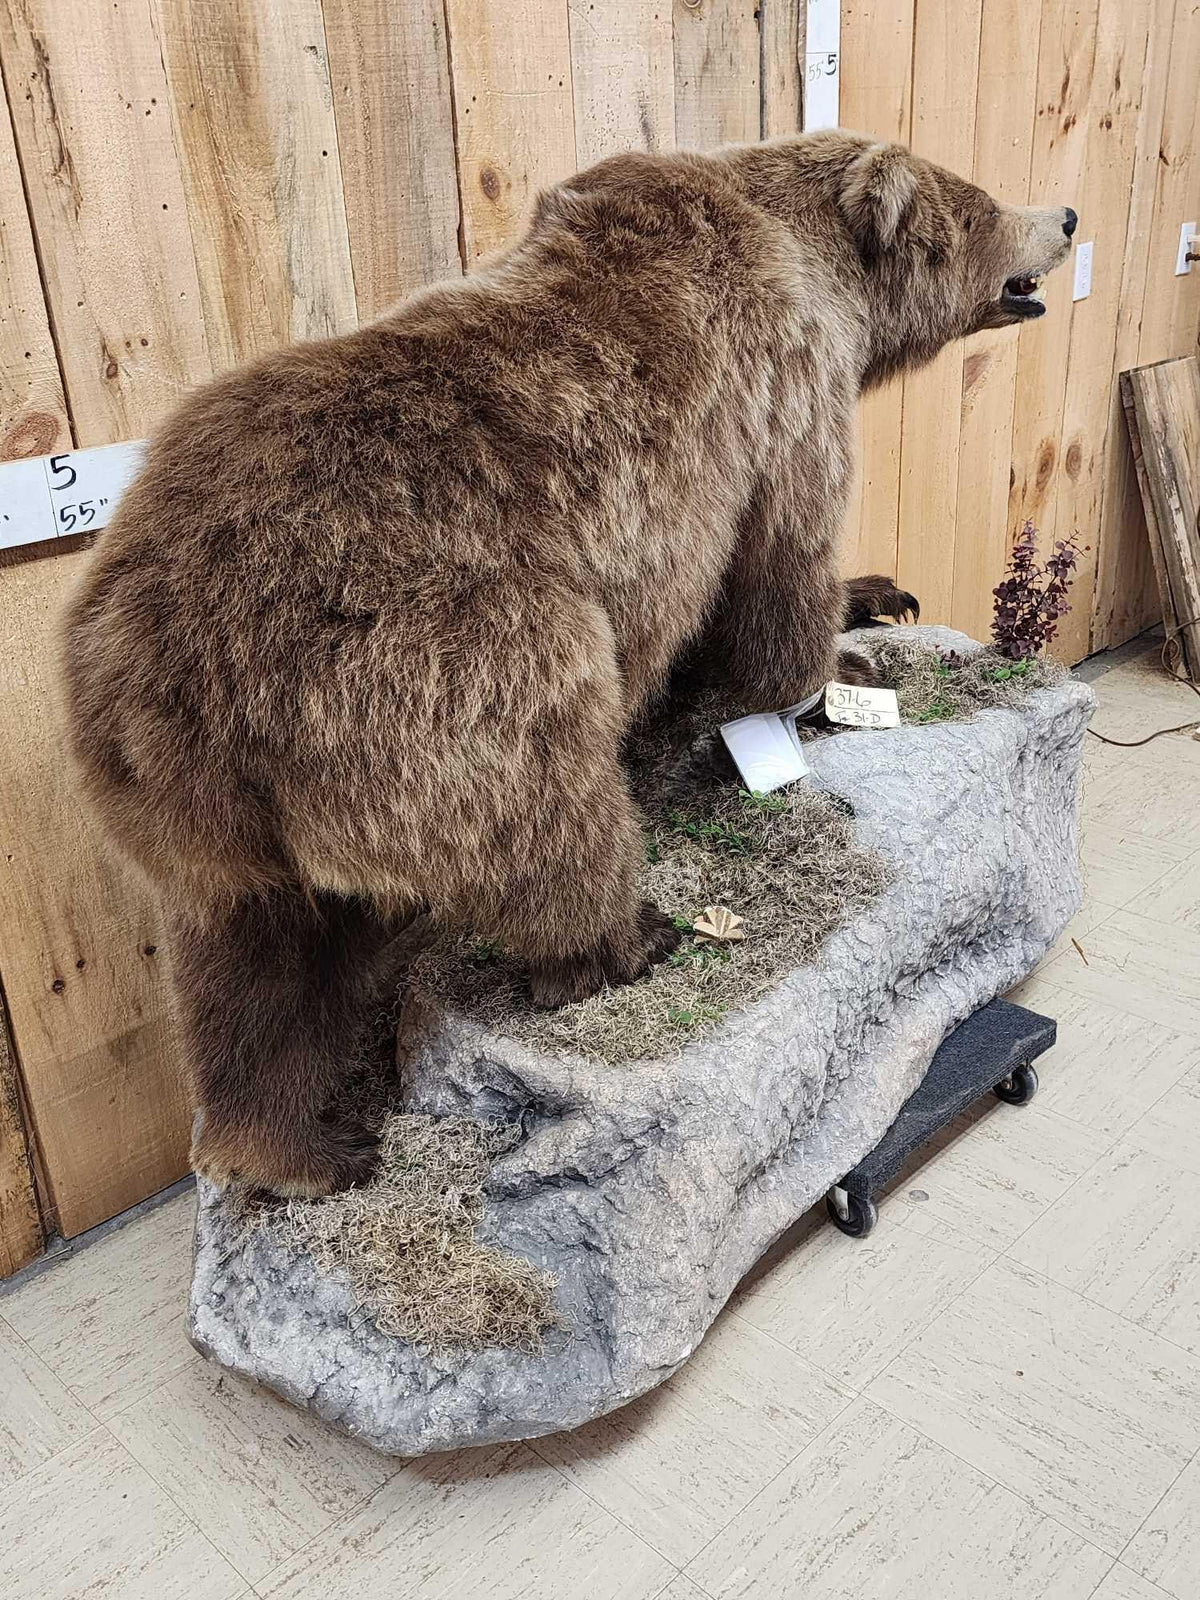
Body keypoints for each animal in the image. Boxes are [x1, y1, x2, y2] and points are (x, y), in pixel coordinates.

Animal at [60, 129, 1076, 1197]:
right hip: (445, 659)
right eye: (980, 202)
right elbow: (780, 565)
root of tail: (167, 656)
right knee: (544, 806)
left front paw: (880, 592)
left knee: (255, 964)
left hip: (195, 812)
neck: (812, 267)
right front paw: (841, 670)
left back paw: (296, 1151)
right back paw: (626, 940)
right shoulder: (780, 394)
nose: (1064, 217)